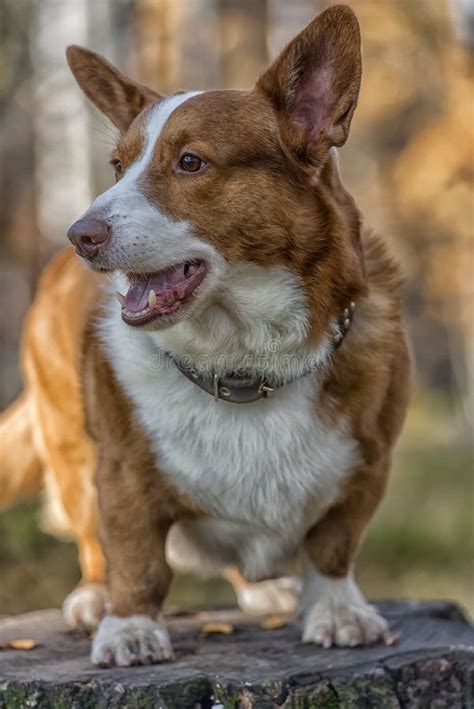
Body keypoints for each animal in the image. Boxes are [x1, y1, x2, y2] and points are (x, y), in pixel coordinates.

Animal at [0, 5, 412, 668]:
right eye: (117, 167)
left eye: (190, 162)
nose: (78, 234)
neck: (244, 362)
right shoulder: (121, 472)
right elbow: (137, 558)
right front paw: (130, 628)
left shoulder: (368, 463)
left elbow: (334, 544)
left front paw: (338, 612)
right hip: (70, 443)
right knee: (91, 539)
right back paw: (94, 598)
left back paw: (267, 588)